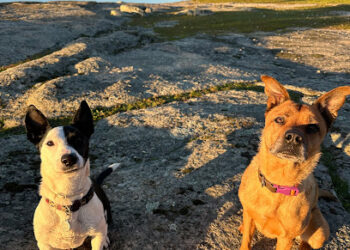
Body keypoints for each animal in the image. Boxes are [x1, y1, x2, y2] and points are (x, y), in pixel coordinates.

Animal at [238, 75, 350, 249]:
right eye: (279, 120)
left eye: (313, 127)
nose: (294, 138)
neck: (278, 180)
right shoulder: (249, 215)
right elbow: (246, 241)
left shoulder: (286, 238)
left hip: (319, 233)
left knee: (306, 241)